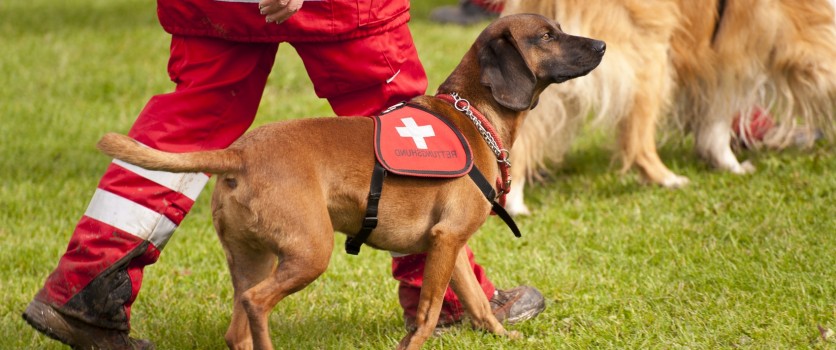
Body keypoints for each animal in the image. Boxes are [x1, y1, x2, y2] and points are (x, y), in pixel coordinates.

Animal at [94, 14, 604, 350]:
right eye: (547, 36)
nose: (601, 45)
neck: (472, 116)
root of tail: (241, 153)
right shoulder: (446, 241)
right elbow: (427, 312)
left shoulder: (448, 245)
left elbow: (476, 303)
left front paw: (501, 335)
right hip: (308, 253)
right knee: (258, 305)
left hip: (254, 260)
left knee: (237, 329)